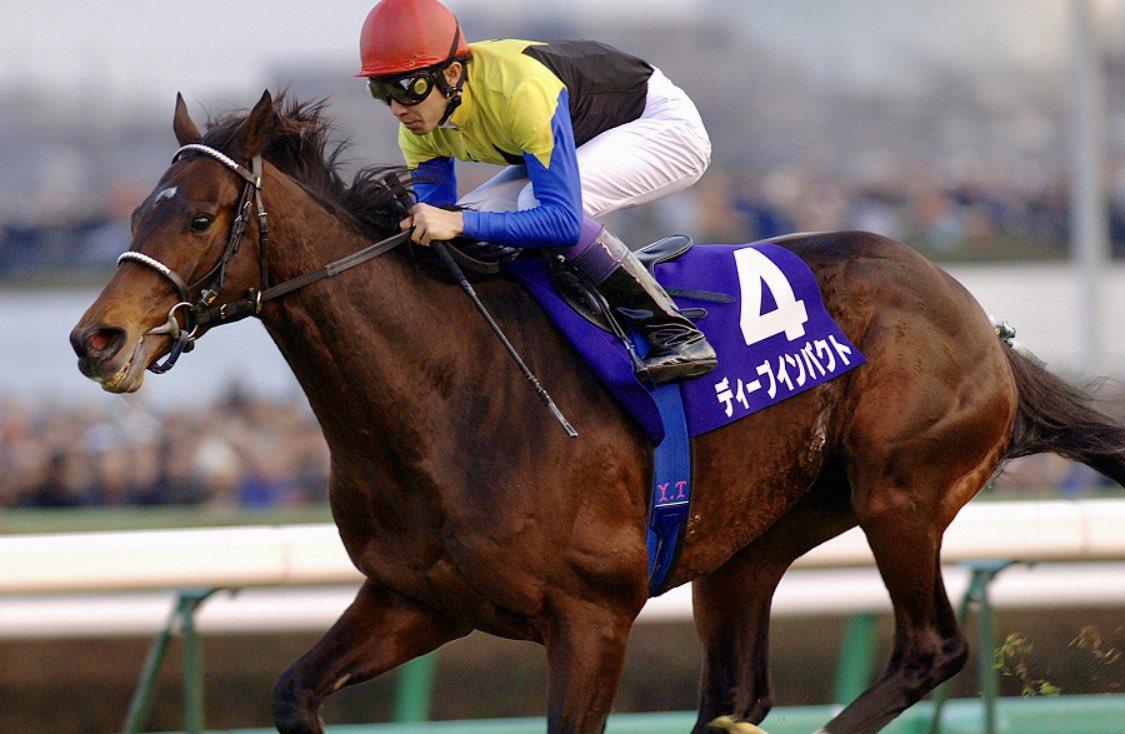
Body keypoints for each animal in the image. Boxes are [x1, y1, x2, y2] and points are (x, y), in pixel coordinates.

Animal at [70, 91, 1125, 734]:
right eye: (133, 215)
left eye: (199, 217)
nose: (96, 340)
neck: (445, 400)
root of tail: (978, 320)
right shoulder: (418, 599)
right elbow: (293, 692)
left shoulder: (591, 616)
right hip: (751, 544)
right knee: (740, 689)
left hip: (899, 492)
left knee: (928, 646)